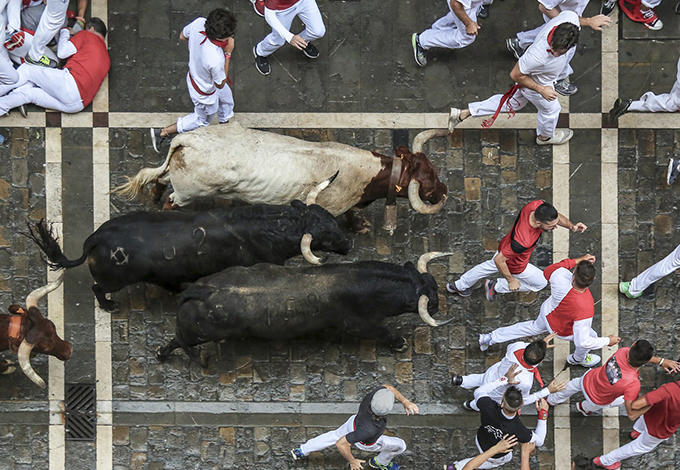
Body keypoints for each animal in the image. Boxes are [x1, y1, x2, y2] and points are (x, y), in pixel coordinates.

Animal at [29, 200, 354, 310]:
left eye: (331, 218)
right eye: (325, 237)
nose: (349, 244)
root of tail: (97, 238)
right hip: (114, 281)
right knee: (98, 288)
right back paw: (109, 306)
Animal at [155, 253, 452, 360]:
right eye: (431, 299)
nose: (438, 305)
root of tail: (200, 290)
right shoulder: (359, 325)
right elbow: (383, 332)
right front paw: (399, 342)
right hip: (199, 333)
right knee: (178, 339)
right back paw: (162, 353)